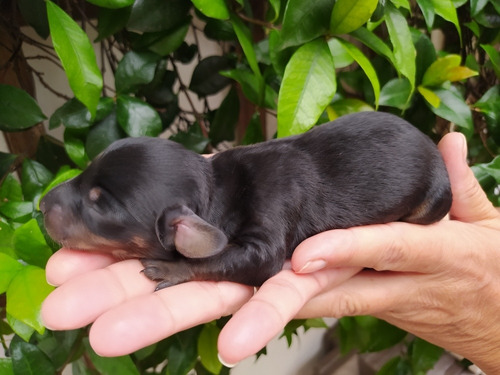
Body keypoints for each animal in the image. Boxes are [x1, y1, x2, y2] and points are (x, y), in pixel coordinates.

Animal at [40, 113, 454, 290]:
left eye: (101, 206)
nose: (41, 205)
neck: (215, 189)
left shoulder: (269, 223)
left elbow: (248, 259)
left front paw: (171, 269)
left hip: (432, 199)